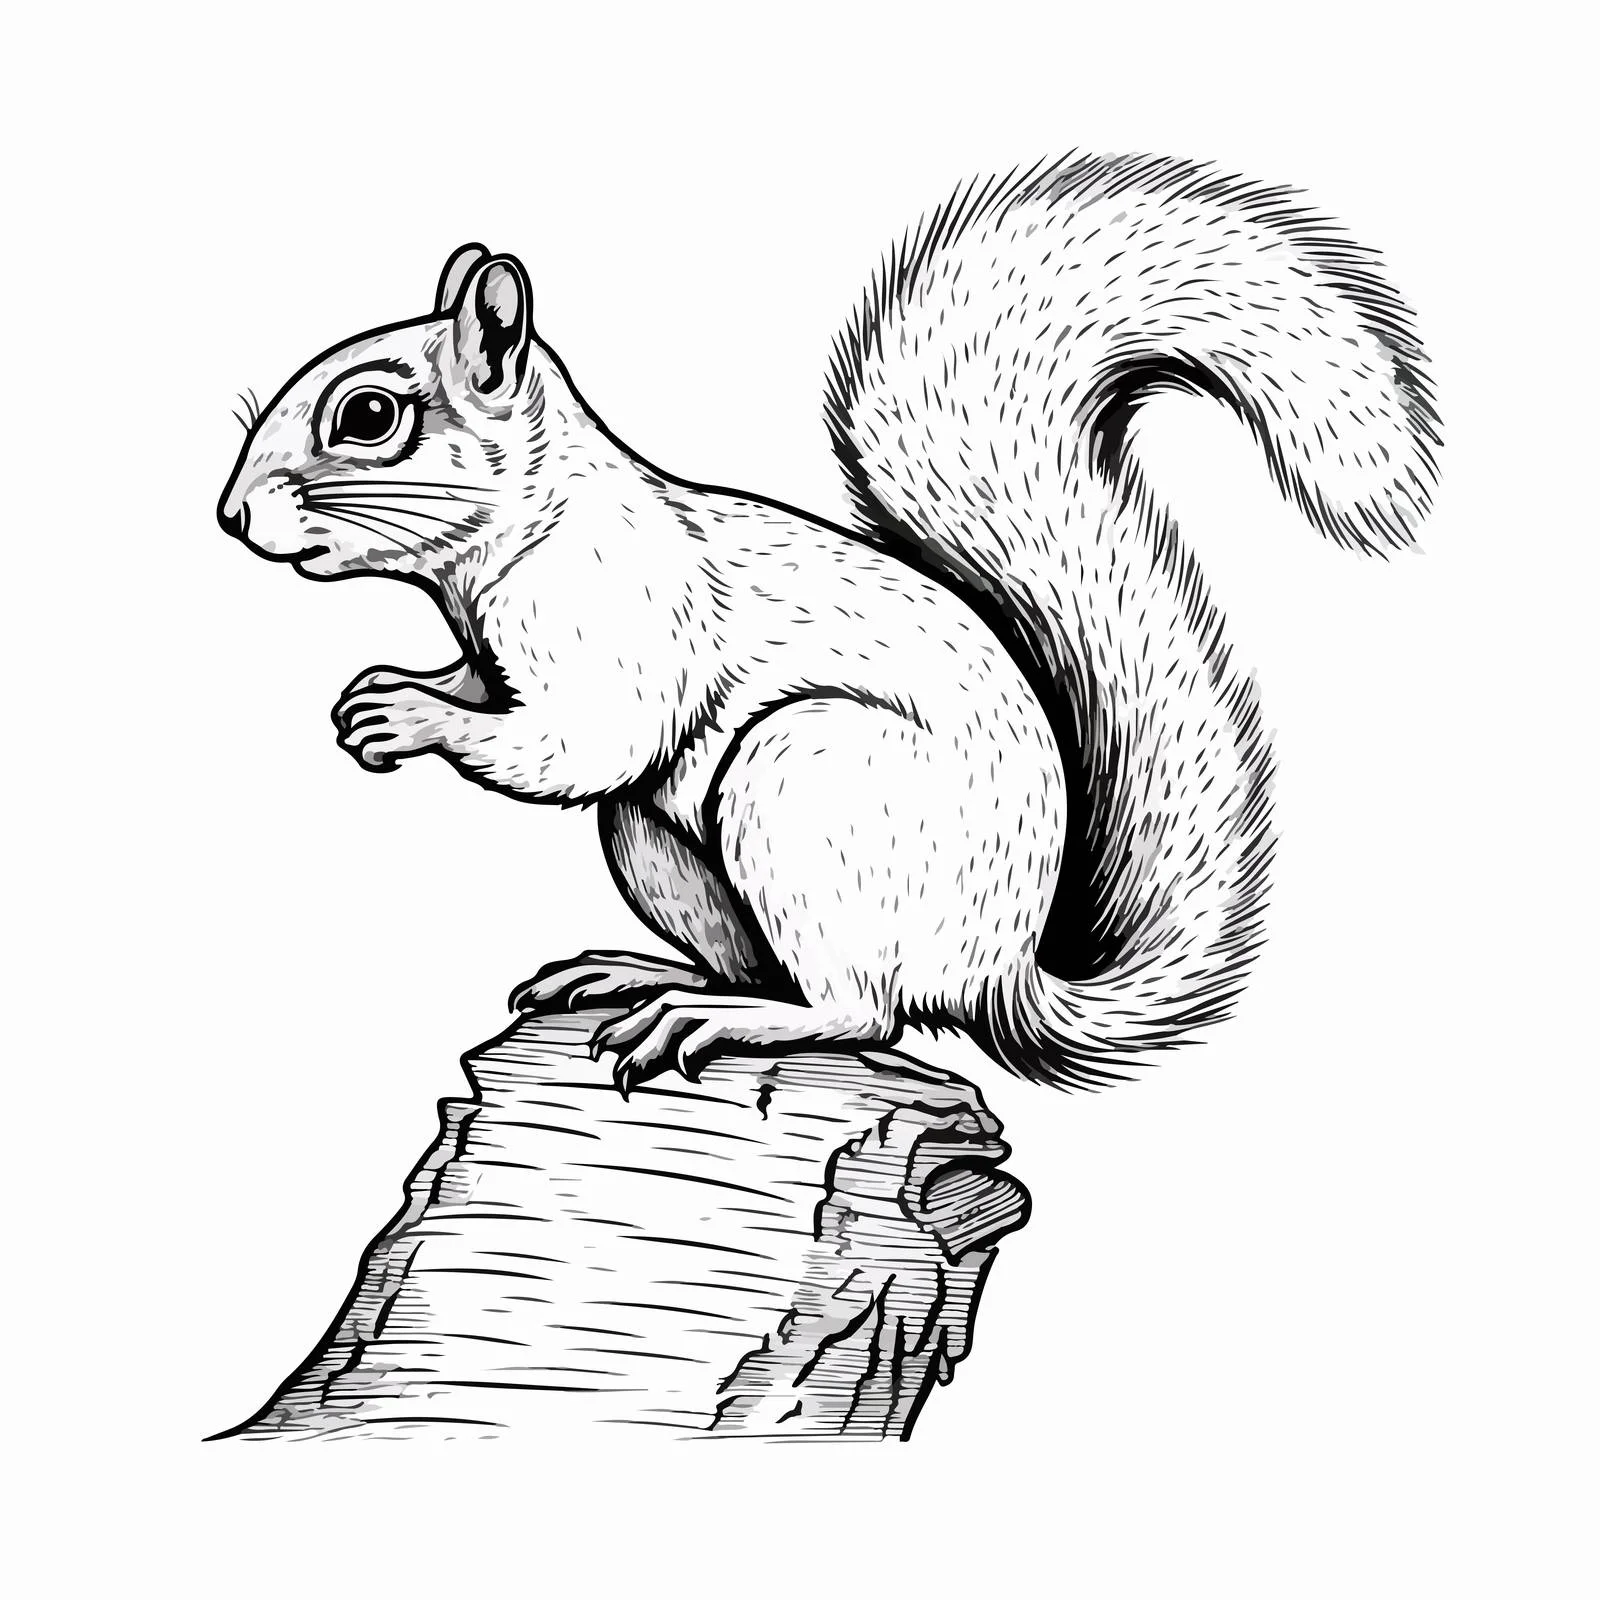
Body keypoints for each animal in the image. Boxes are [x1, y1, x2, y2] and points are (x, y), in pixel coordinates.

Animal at [217, 153, 1438, 1093]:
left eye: (369, 415)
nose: (231, 515)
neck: (511, 538)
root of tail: (995, 968)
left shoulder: (614, 615)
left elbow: (576, 741)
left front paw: (408, 716)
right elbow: (495, 693)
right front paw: (391, 696)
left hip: (805, 781)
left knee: (860, 1010)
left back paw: (721, 1018)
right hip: (659, 846)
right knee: (775, 967)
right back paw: (643, 975)